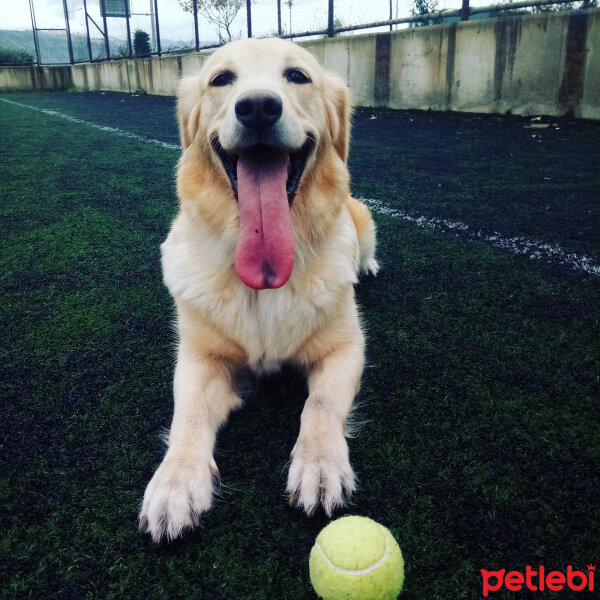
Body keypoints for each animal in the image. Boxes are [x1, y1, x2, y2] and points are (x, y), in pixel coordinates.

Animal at [138, 37, 378, 544]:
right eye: (221, 79)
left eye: (298, 76)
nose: (259, 108)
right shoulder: (200, 358)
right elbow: (187, 413)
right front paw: (174, 484)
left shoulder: (347, 347)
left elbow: (320, 404)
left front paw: (320, 466)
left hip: (362, 214)